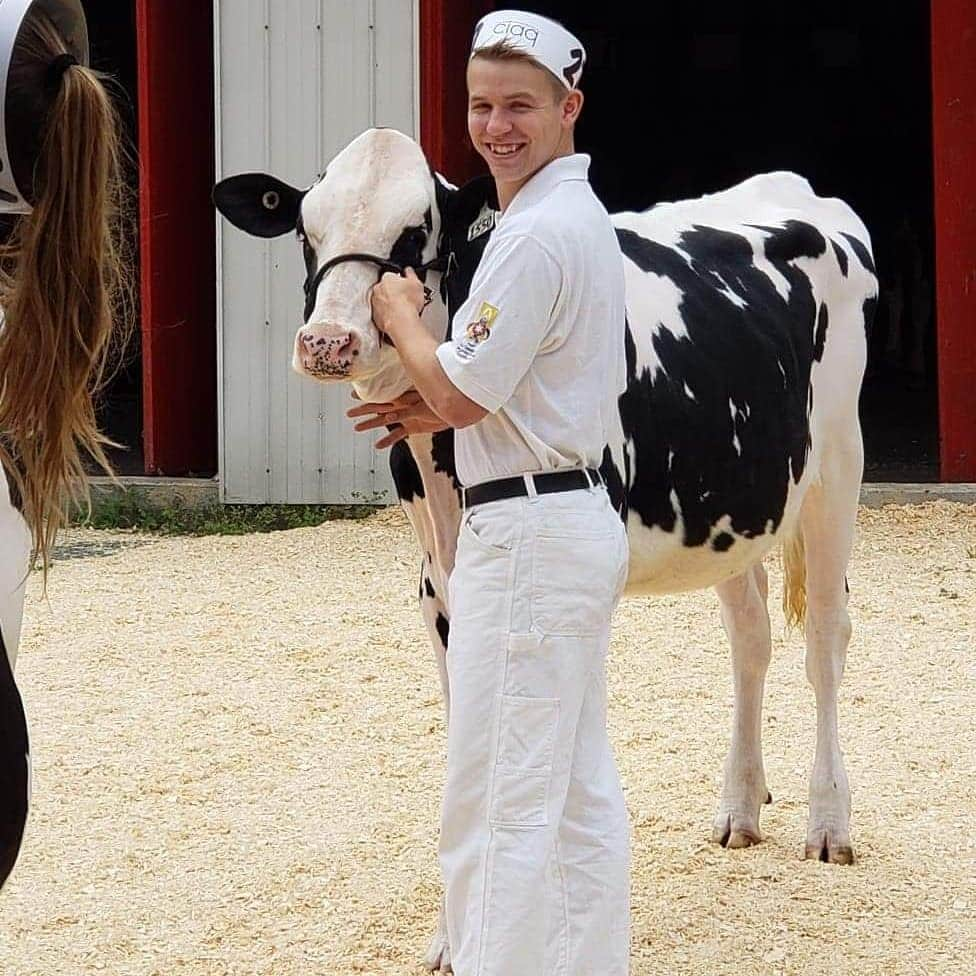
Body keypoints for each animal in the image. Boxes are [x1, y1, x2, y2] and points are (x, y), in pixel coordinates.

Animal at [217, 126, 880, 972]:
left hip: (835, 469)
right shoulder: (439, 588)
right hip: (730, 505)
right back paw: (740, 806)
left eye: (416, 231)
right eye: (306, 227)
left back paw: (828, 823)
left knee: (825, 640)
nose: (328, 342)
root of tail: (793, 189)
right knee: (751, 638)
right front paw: (456, 936)